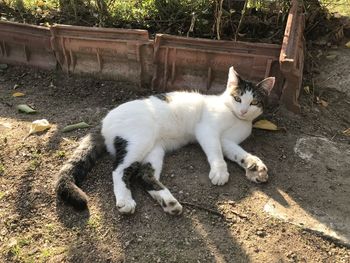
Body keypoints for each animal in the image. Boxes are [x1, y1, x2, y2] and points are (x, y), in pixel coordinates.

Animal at [56, 67, 274, 217]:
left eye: (254, 102)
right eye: (237, 98)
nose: (243, 111)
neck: (235, 118)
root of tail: (103, 121)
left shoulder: (227, 140)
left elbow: (238, 153)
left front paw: (254, 166)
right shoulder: (207, 131)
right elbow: (216, 153)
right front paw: (220, 172)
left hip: (155, 150)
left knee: (143, 175)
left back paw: (168, 202)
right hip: (138, 140)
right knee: (119, 170)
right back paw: (126, 201)